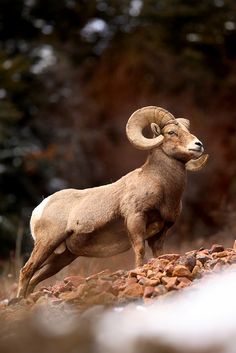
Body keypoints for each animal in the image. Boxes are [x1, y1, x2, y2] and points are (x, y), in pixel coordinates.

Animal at [17, 106, 208, 296]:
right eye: (171, 132)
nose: (198, 145)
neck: (162, 185)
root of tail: (40, 208)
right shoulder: (135, 220)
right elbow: (139, 251)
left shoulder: (160, 232)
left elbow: (159, 255)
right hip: (47, 243)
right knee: (26, 271)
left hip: (61, 257)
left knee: (34, 278)